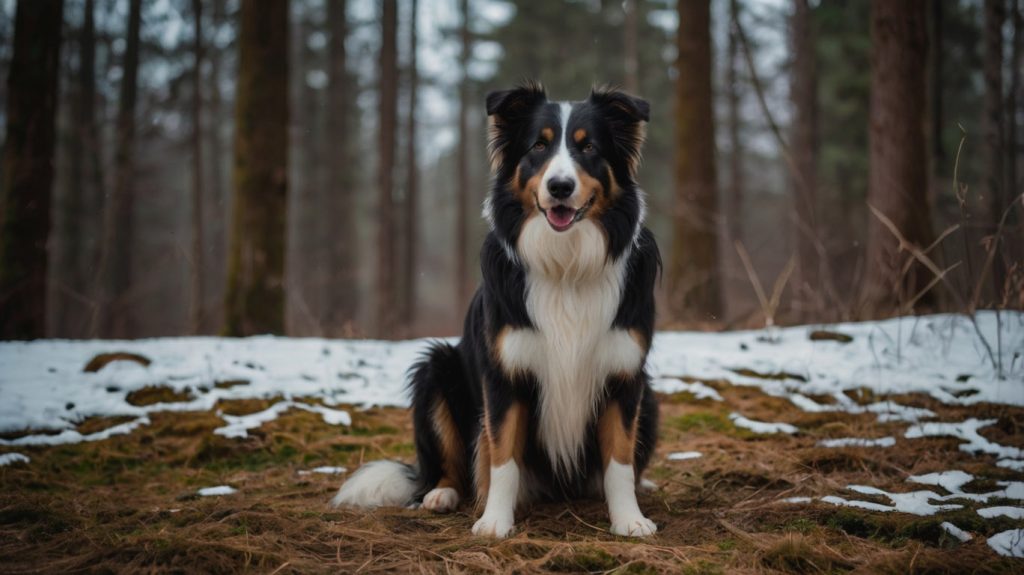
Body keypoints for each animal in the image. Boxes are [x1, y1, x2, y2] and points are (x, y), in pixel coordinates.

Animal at [331, 81, 659, 536]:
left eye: (589, 147)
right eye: (538, 146)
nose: (560, 186)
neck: (566, 264)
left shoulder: (624, 375)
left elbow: (620, 460)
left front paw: (628, 519)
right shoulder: (504, 375)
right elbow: (502, 456)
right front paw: (494, 522)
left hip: (652, 401)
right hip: (434, 369)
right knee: (447, 467)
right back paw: (440, 493)